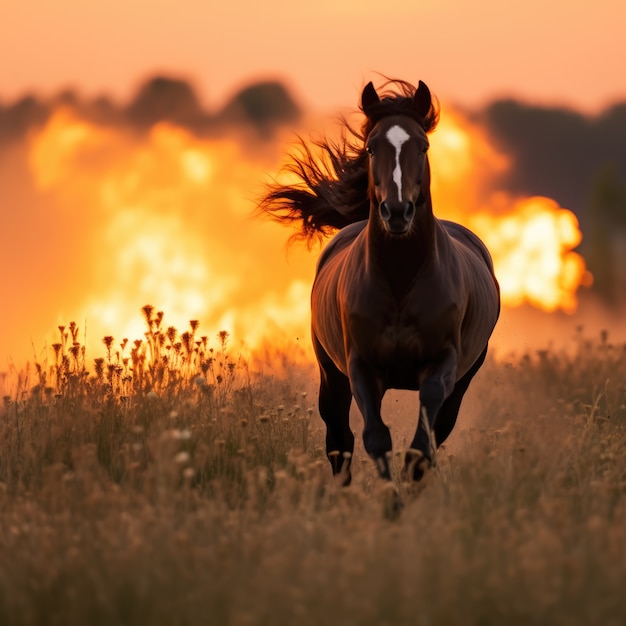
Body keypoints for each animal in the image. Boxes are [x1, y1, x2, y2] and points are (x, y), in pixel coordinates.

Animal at [258, 77, 498, 478]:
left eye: (423, 145)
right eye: (372, 147)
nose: (397, 212)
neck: (401, 282)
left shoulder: (444, 365)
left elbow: (421, 441)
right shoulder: (361, 367)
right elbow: (375, 438)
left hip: (464, 380)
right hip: (331, 375)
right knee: (339, 440)